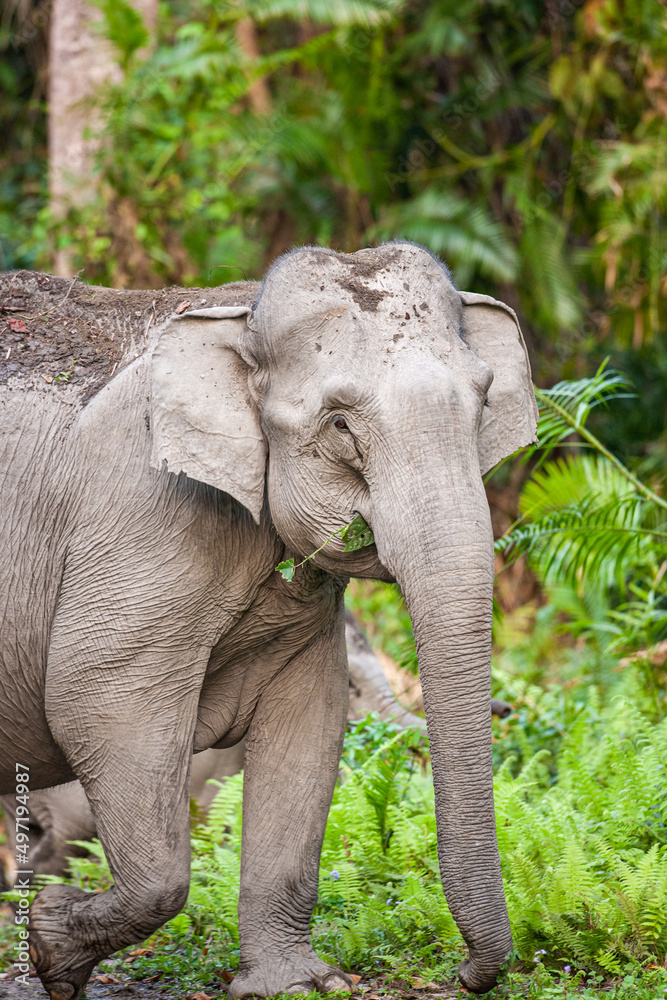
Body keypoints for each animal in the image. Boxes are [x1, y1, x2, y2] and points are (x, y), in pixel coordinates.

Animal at [0, 242, 537, 999]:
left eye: (483, 402)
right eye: (340, 424)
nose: (463, 974)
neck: (239, 310)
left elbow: (307, 722)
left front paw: (296, 986)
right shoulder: (138, 519)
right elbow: (95, 703)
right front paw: (51, 946)